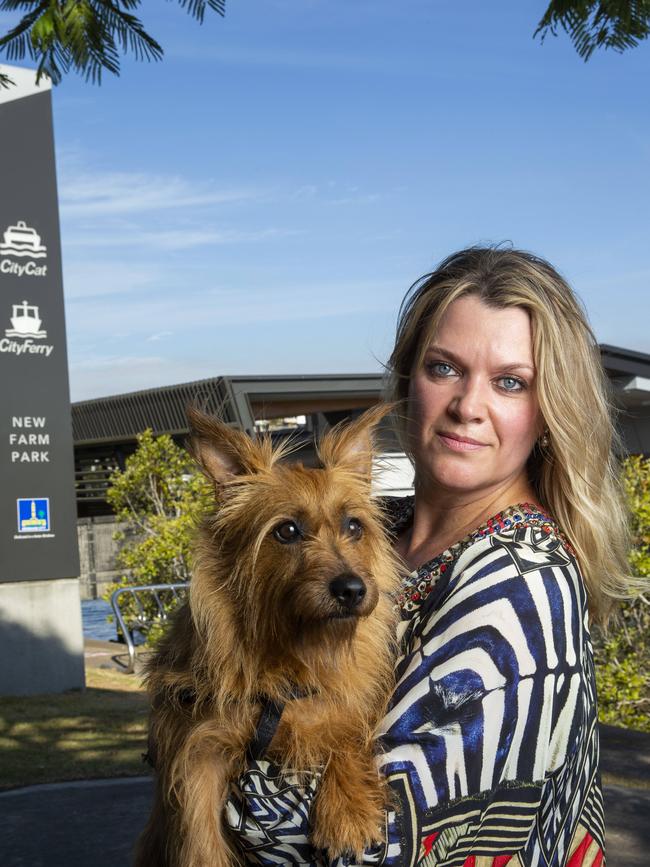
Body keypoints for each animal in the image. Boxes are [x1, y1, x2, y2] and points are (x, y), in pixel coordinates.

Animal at [134, 406, 400, 867]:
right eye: (287, 531)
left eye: (353, 526)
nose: (351, 589)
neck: (293, 653)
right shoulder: (198, 752)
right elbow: (201, 841)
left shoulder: (338, 703)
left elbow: (347, 728)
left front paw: (348, 810)